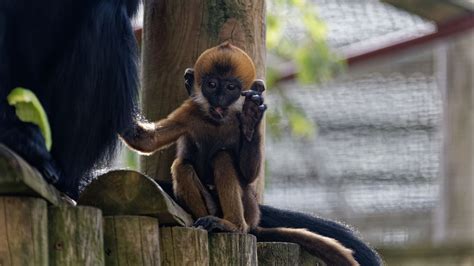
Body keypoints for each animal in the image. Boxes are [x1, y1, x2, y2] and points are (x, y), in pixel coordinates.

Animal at [122, 42, 360, 266]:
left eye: (230, 87)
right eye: (212, 84)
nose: (219, 99)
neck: (217, 120)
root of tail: (254, 224)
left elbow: (248, 174)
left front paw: (251, 118)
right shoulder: (189, 112)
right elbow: (148, 141)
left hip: (250, 207)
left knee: (223, 158)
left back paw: (233, 226)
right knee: (183, 166)